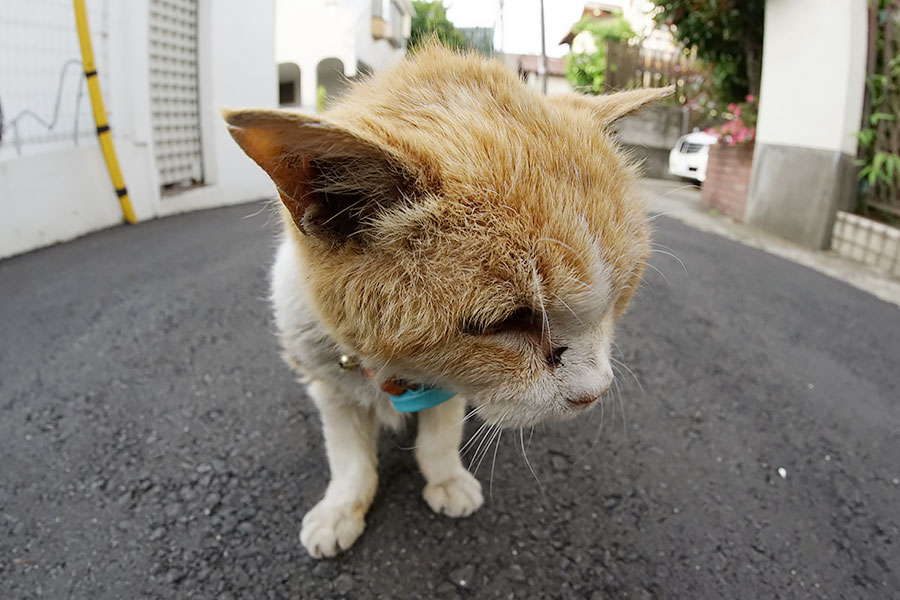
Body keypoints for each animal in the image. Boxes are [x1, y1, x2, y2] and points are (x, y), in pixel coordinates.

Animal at [221, 45, 664, 556]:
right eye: (509, 322)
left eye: (620, 298)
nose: (596, 392)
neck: (390, 376)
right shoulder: (330, 387)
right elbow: (350, 458)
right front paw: (342, 508)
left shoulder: (449, 389)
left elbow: (438, 436)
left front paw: (446, 479)